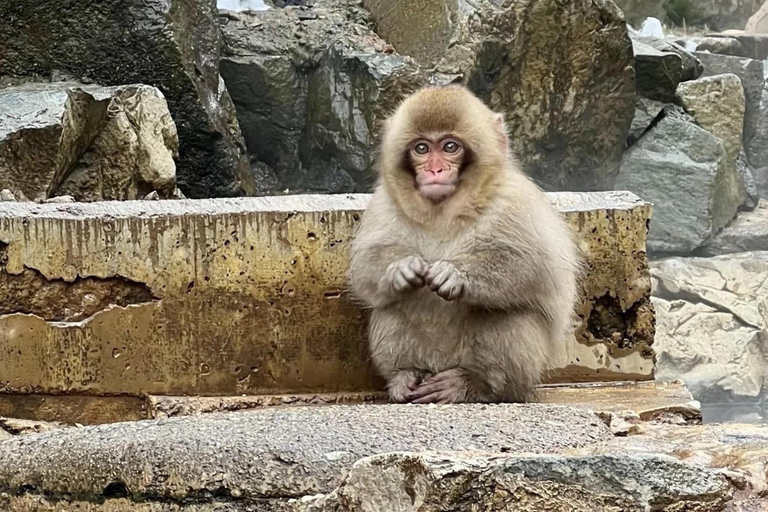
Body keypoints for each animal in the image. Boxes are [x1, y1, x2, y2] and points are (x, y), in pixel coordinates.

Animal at [347, 84, 581, 404]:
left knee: (510, 316)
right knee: (390, 308)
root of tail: (441, 365)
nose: (434, 171)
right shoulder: (384, 203)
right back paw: (404, 376)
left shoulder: (515, 199)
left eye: (450, 147)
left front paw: (454, 274)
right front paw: (401, 269)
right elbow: (364, 266)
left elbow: (539, 266)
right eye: (422, 148)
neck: (443, 211)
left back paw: (477, 385)